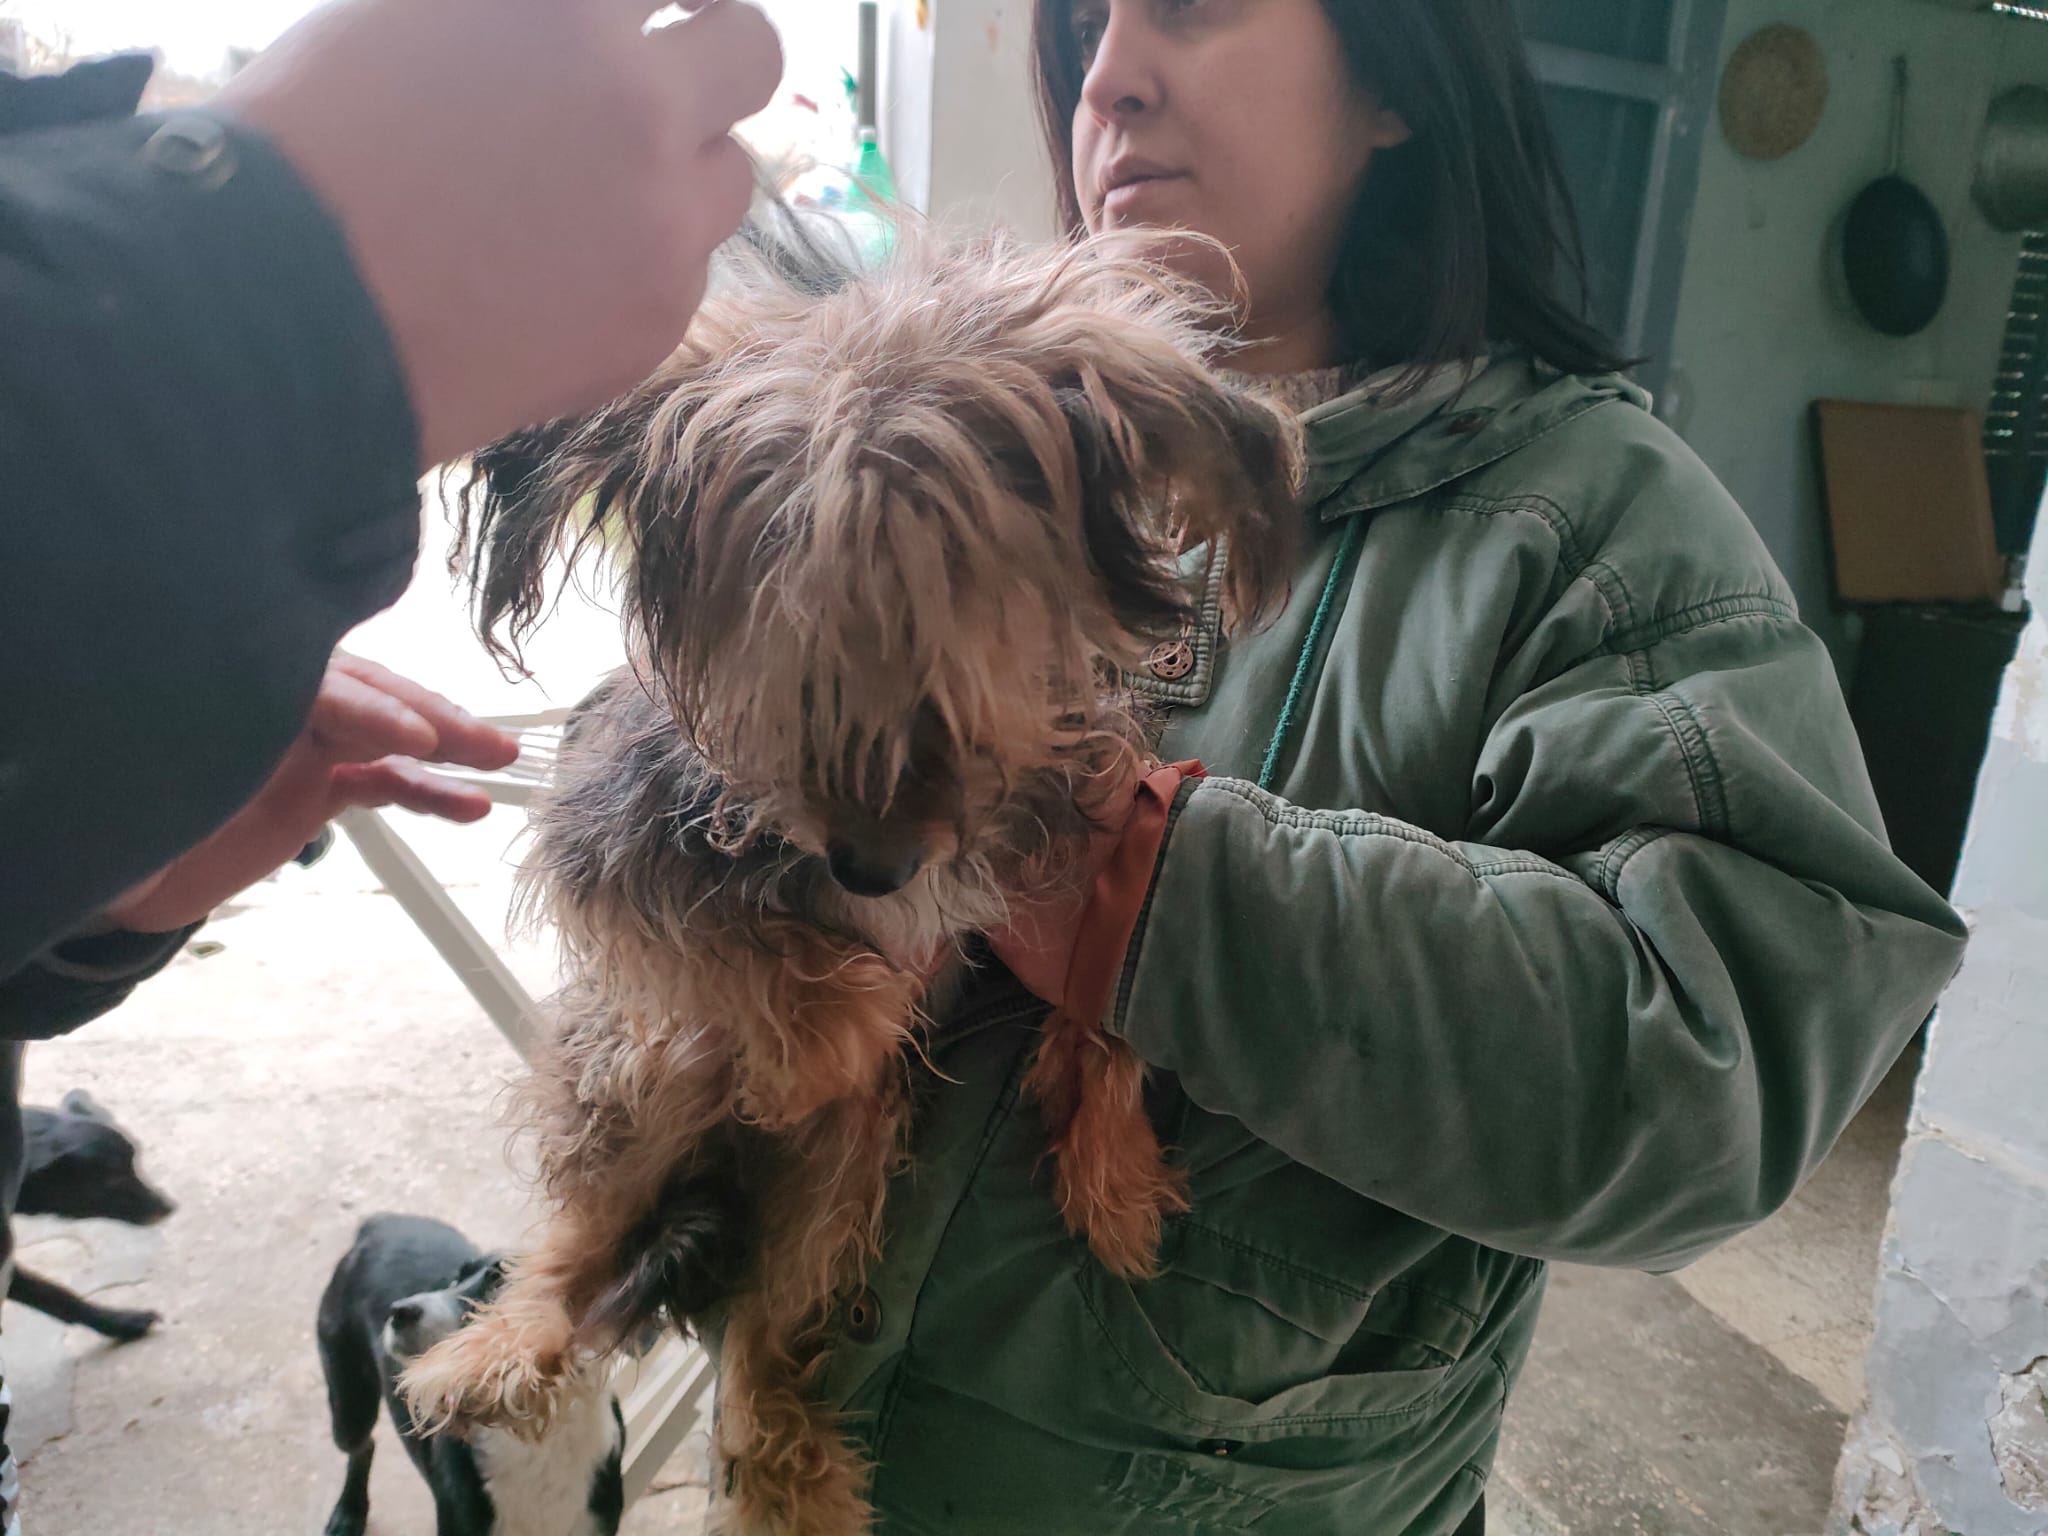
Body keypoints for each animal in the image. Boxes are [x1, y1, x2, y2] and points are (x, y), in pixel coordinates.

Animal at [10, 1089, 175, 1341]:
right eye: (114, 1179)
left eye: (134, 1164)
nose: (169, 1206)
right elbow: (54, 1294)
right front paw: (123, 1322)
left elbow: (51, 1295)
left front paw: (122, 1323)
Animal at [318, 1213, 624, 1536]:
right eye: (455, 1279)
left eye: (499, 1282)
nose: (397, 1311)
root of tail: (378, 1224)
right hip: (350, 1407)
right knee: (362, 1446)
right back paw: (349, 1513)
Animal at [400, 215, 1302, 1534]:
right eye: (788, 649)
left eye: (971, 625)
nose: (872, 868)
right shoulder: (614, 838)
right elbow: (735, 942)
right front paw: (833, 1020)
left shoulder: (1085, 852)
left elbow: (1105, 1007)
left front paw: (1115, 1176)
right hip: (641, 1076)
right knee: (581, 1237)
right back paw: (503, 1340)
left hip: (841, 1178)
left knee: (764, 1342)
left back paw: (792, 1475)